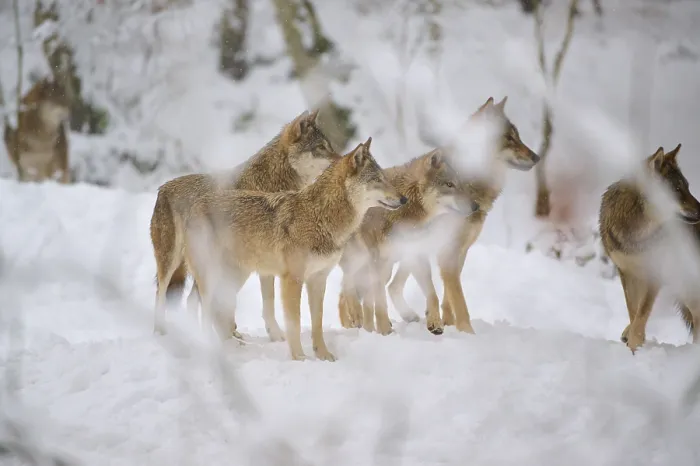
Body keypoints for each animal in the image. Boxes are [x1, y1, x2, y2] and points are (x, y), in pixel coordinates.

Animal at [150, 109, 339, 342]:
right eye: (320, 147)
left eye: (330, 146)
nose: (342, 160)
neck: (270, 182)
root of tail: (163, 188)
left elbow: (266, 302)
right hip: (174, 262)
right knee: (162, 294)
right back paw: (162, 331)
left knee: (193, 299)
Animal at [152, 138, 404, 361]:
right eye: (378, 180)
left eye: (386, 178)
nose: (403, 199)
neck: (320, 216)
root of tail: (195, 203)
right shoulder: (292, 279)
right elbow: (294, 322)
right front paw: (299, 357)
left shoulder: (318, 280)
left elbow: (317, 322)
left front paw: (324, 355)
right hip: (189, 268)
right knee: (173, 298)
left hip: (235, 275)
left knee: (213, 309)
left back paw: (229, 344)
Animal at [337, 148, 478, 334]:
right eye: (449, 185)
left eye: (461, 185)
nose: (476, 206)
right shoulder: (377, 260)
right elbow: (380, 302)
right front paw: (385, 332)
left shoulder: (415, 254)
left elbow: (432, 294)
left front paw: (435, 323)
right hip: (362, 262)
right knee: (347, 288)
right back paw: (356, 319)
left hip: (384, 268)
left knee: (361, 297)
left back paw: (368, 328)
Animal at [599, 144, 700, 353]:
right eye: (677, 189)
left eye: (687, 187)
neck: (636, 235)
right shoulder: (627, 272)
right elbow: (634, 311)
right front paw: (633, 347)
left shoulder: (654, 273)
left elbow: (642, 314)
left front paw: (635, 347)